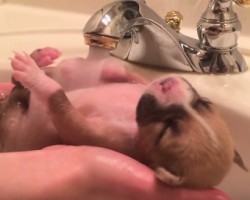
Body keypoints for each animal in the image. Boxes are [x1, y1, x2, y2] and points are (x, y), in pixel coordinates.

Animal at [0, 47, 247, 188]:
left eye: (165, 132)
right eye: (204, 103)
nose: (168, 82)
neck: (134, 120)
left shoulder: (87, 134)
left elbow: (59, 101)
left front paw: (38, 79)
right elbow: (130, 76)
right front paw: (114, 69)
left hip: (18, 128)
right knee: (16, 83)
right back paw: (40, 58)